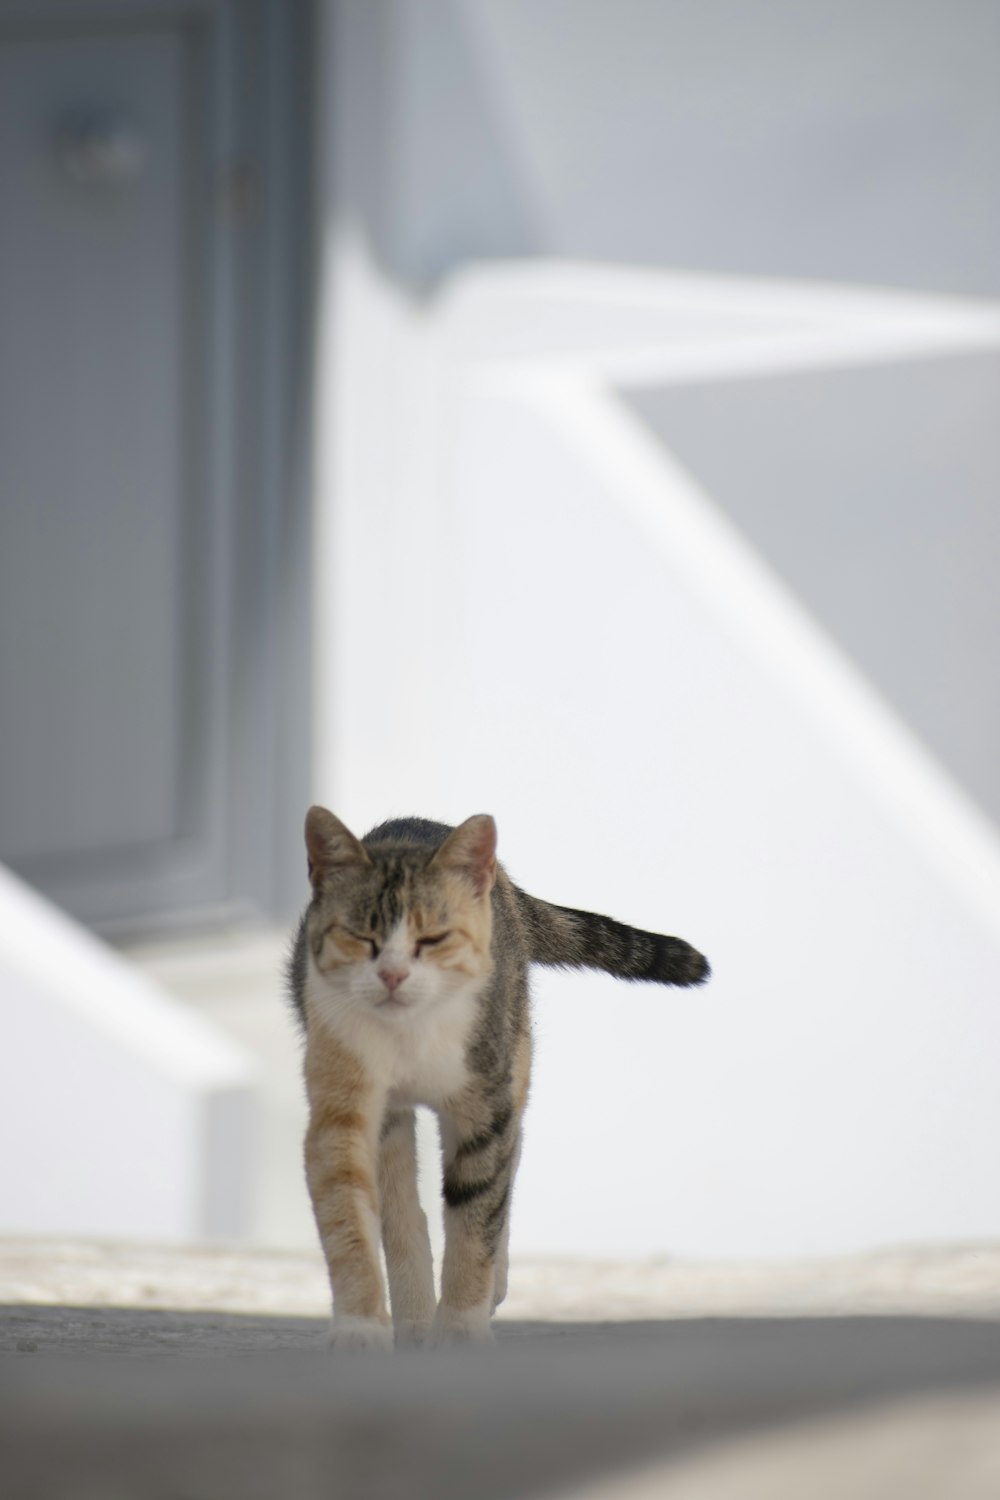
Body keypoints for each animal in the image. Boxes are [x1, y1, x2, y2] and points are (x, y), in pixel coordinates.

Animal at [287, 810, 710, 1350]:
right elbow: (353, 1212)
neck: (411, 1036)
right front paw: (363, 1328)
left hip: (514, 1045)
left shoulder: (484, 1102)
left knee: (510, 1157)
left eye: (434, 939)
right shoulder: (344, 1101)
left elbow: (478, 1208)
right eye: (361, 938)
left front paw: (462, 1329)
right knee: (406, 1203)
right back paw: (415, 1315)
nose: (392, 976)